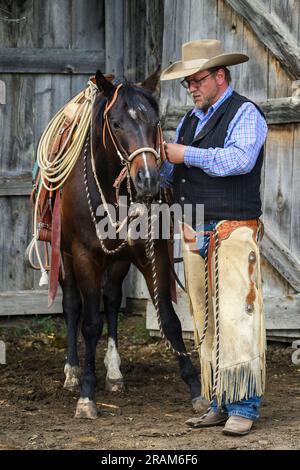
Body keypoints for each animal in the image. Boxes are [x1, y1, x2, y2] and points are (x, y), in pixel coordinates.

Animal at [59, 68, 205, 416]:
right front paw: (87, 395)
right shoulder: (84, 256)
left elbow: (169, 319)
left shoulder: (153, 254)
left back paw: (114, 373)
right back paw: (72, 373)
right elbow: (90, 324)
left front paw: (195, 388)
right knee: (72, 305)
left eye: (155, 121)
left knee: (112, 300)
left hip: (118, 262)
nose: (148, 179)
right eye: (115, 123)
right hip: (63, 253)